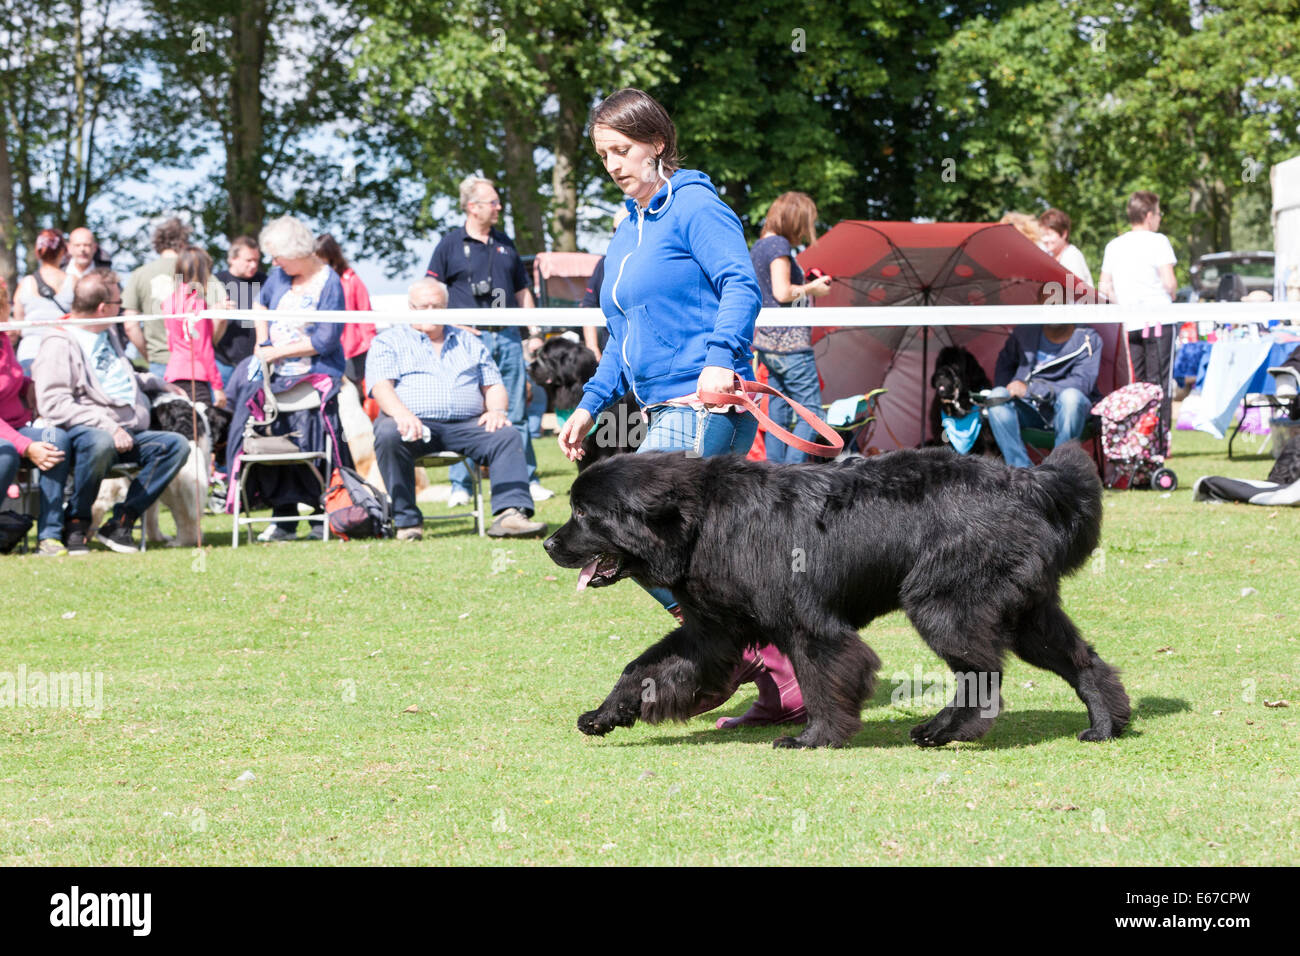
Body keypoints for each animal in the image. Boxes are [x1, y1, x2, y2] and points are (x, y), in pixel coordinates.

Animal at [540, 444, 1128, 749]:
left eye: (584, 514)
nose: (547, 543)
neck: (703, 520)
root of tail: (1028, 482)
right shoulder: (711, 631)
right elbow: (646, 667)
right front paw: (605, 714)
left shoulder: (809, 626)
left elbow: (823, 679)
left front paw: (814, 737)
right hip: (1027, 613)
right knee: (1084, 662)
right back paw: (1106, 724)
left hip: (943, 605)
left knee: (982, 676)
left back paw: (945, 729)